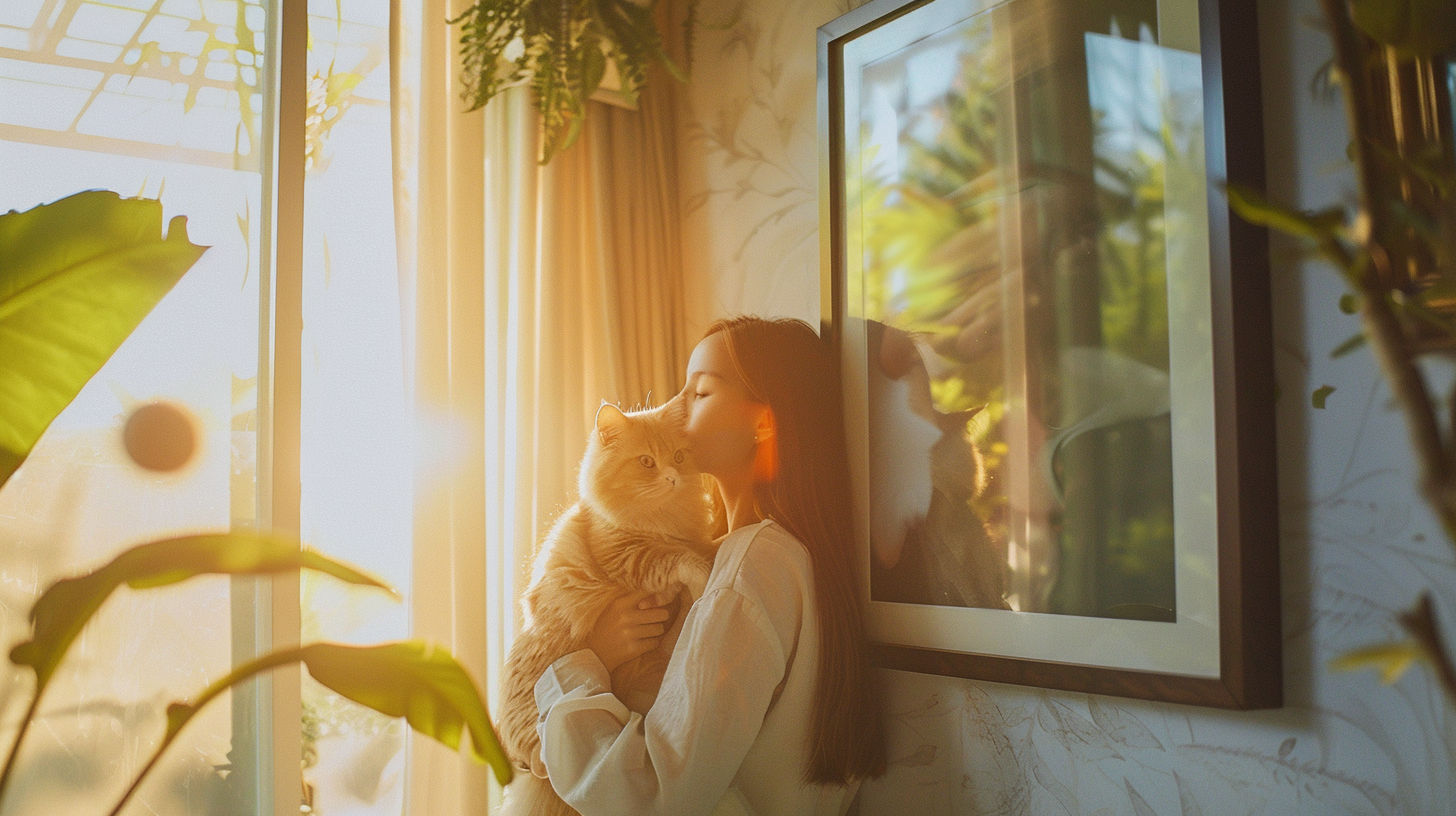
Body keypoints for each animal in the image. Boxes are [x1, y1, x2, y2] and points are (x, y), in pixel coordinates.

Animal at [497, 399, 713, 810]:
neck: (662, 519)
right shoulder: (627, 556)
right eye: (646, 462)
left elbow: (696, 547)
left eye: (679, 457)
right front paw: (703, 574)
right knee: (540, 759)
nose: (672, 478)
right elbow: (675, 559)